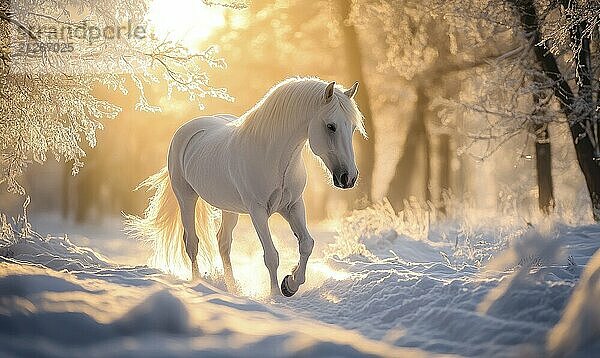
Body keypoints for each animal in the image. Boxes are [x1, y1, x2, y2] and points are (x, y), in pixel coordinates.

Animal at [124, 77, 364, 296]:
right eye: (331, 126)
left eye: (352, 127)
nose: (349, 178)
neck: (273, 156)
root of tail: (188, 129)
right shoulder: (257, 210)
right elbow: (271, 255)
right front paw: (276, 296)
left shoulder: (293, 206)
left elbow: (306, 244)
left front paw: (290, 284)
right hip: (186, 198)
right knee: (192, 243)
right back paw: (198, 283)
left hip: (229, 209)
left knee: (223, 243)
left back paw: (233, 289)